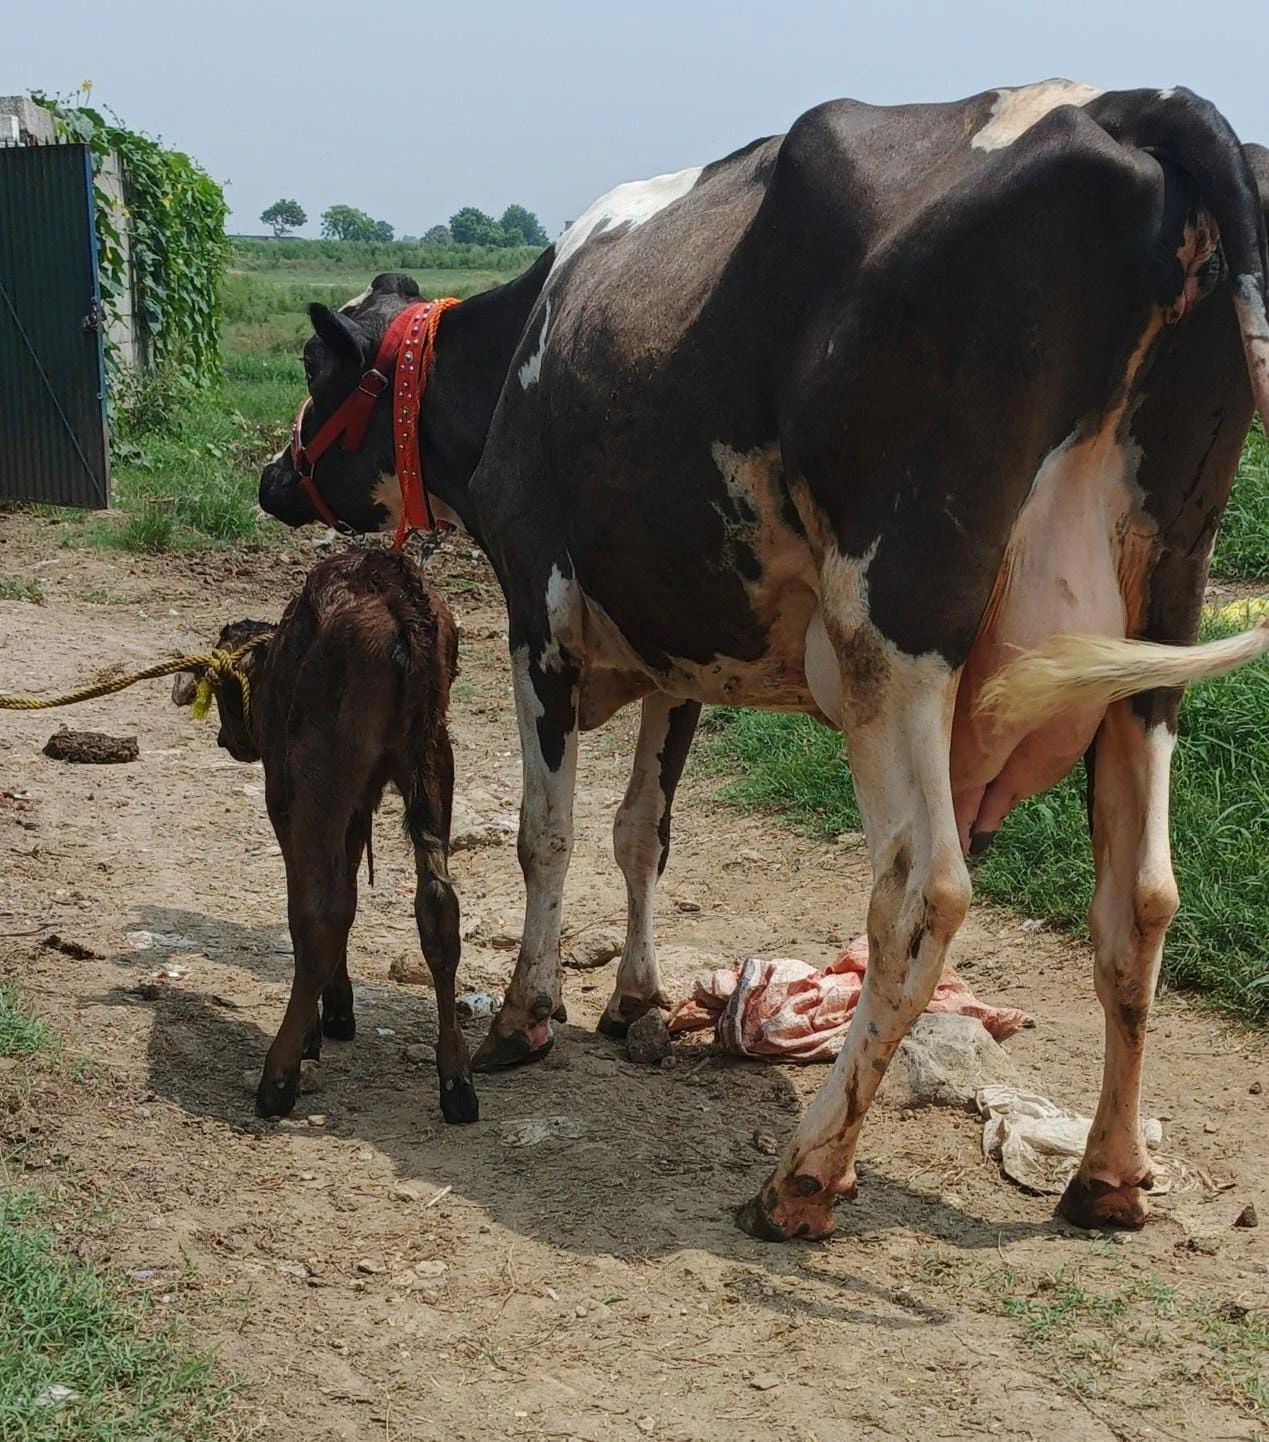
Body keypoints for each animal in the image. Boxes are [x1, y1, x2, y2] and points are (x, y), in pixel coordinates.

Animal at [173, 549, 477, 1126]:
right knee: (438, 906)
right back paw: (457, 1081)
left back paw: (278, 1077)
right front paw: (339, 1007)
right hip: (432, 760)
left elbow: (315, 901)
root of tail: (396, 591)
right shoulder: (359, 802)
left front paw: (318, 1027)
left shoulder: (285, 795)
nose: (227, 739)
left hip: (321, 768)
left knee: (323, 911)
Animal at [258, 81, 1269, 1241]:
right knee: (1139, 896)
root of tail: (1124, 105)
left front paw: (525, 1015)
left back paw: (803, 1174)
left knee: (922, 892)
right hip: (1156, 632)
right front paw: (636, 1001)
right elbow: (640, 831)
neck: (515, 355)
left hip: (896, 626)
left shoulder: (537, 614)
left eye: (315, 369)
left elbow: (546, 833)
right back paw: (1105, 1175)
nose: (272, 478)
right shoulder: (682, 645)